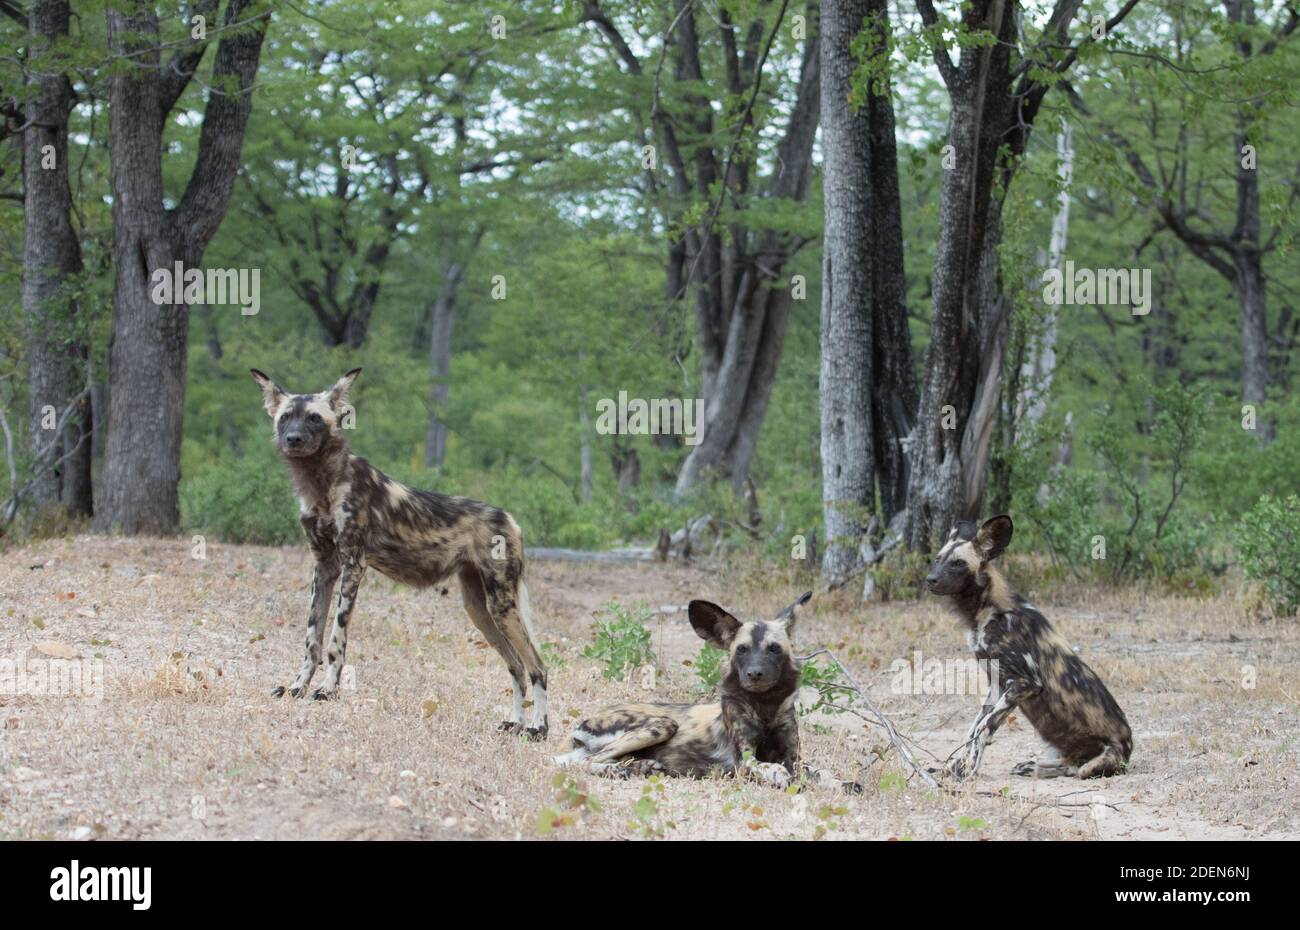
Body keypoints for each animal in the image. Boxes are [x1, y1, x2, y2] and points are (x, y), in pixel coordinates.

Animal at [248, 366, 548, 738]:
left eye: (315, 418)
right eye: (286, 417)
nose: (293, 439)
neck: (322, 484)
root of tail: (510, 518)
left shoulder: (353, 565)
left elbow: (335, 641)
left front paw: (328, 690)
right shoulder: (324, 567)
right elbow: (311, 639)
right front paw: (297, 687)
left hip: (502, 606)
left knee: (537, 666)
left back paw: (538, 728)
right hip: (481, 609)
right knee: (517, 666)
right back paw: (515, 723)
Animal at [553, 595, 857, 790]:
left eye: (773, 649)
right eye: (742, 649)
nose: (754, 674)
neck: (765, 707)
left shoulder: (794, 758)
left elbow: (817, 770)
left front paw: (840, 782)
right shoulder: (744, 762)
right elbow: (772, 768)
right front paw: (781, 777)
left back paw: (643, 766)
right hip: (662, 724)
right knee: (586, 762)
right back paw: (617, 770)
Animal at [920, 517, 1133, 780]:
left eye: (958, 563)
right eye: (937, 559)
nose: (930, 579)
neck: (987, 613)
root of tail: (1128, 749)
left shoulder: (1025, 682)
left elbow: (984, 728)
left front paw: (967, 770)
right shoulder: (997, 686)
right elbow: (972, 730)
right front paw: (953, 768)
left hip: (1098, 762)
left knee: (1076, 770)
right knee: (1065, 763)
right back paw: (1031, 767)